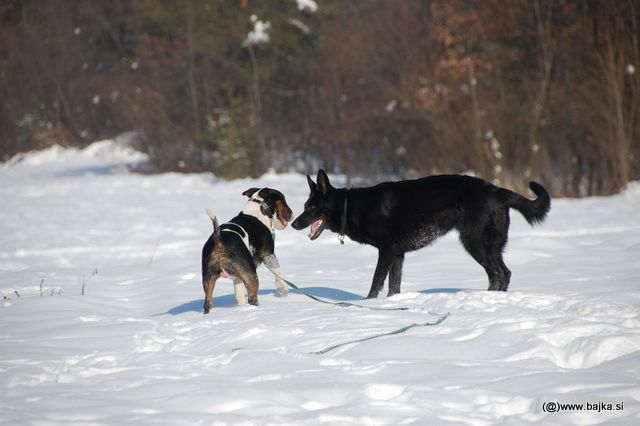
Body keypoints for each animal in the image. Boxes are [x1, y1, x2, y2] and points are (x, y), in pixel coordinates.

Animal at [294, 169, 552, 296]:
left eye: (311, 208)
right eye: (305, 206)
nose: (294, 224)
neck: (353, 206)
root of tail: (497, 191)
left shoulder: (386, 252)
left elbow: (376, 282)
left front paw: (370, 304)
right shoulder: (397, 255)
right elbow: (393, 287)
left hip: (476, 243)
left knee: (501, 273)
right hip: (486, 246)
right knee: (500, 274)